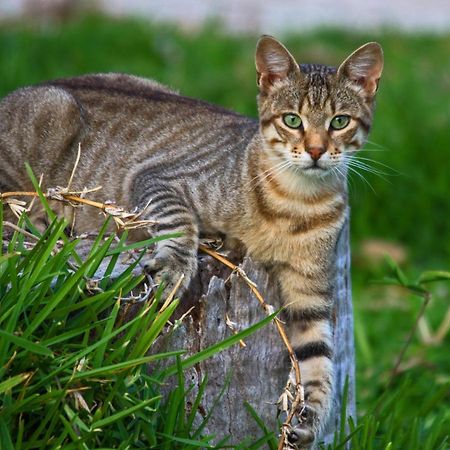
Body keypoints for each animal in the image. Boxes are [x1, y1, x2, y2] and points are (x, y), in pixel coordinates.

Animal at [0, 36, 384, 446]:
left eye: (339, 121)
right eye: (292, 120)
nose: (315, 150)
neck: (296, 203)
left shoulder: (311, 292)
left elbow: (319, 359)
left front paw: (309, 416)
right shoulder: (157, 179)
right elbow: (178, 223)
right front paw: (175, 269)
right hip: (51, 118)